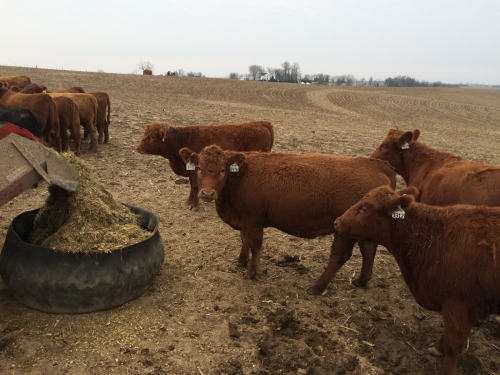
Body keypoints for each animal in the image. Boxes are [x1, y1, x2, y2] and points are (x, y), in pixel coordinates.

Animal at [137, 122, 276, 213]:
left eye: (153, 136)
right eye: (144, 134)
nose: (138, 147)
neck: (181, 140)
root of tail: (262, 124)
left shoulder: (194, 171)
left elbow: (195, 187)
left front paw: (195, 206)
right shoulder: (191, 169)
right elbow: (191, 187)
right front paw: (189, 201)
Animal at [180, 145, 398, 296]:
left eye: (223, 170)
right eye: (198, 167)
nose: (208, 193)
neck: (241, 175)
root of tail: (378, 165)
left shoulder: (253, 221)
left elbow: (255, 245)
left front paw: (251, 272)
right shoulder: (243, 220)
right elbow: (244, 241)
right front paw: (241, 261)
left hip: (344, 230)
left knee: (339, 256)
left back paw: (317, 287)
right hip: (361, 230)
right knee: (368, 251)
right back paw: (361, 280)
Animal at [334, 186, 500, 375]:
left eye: (364, 209)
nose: (337, 222)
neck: (431, 236)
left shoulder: (457, 304)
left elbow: (453, 344)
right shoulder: (469, 307)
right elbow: (455, 337)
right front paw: (438, 347)